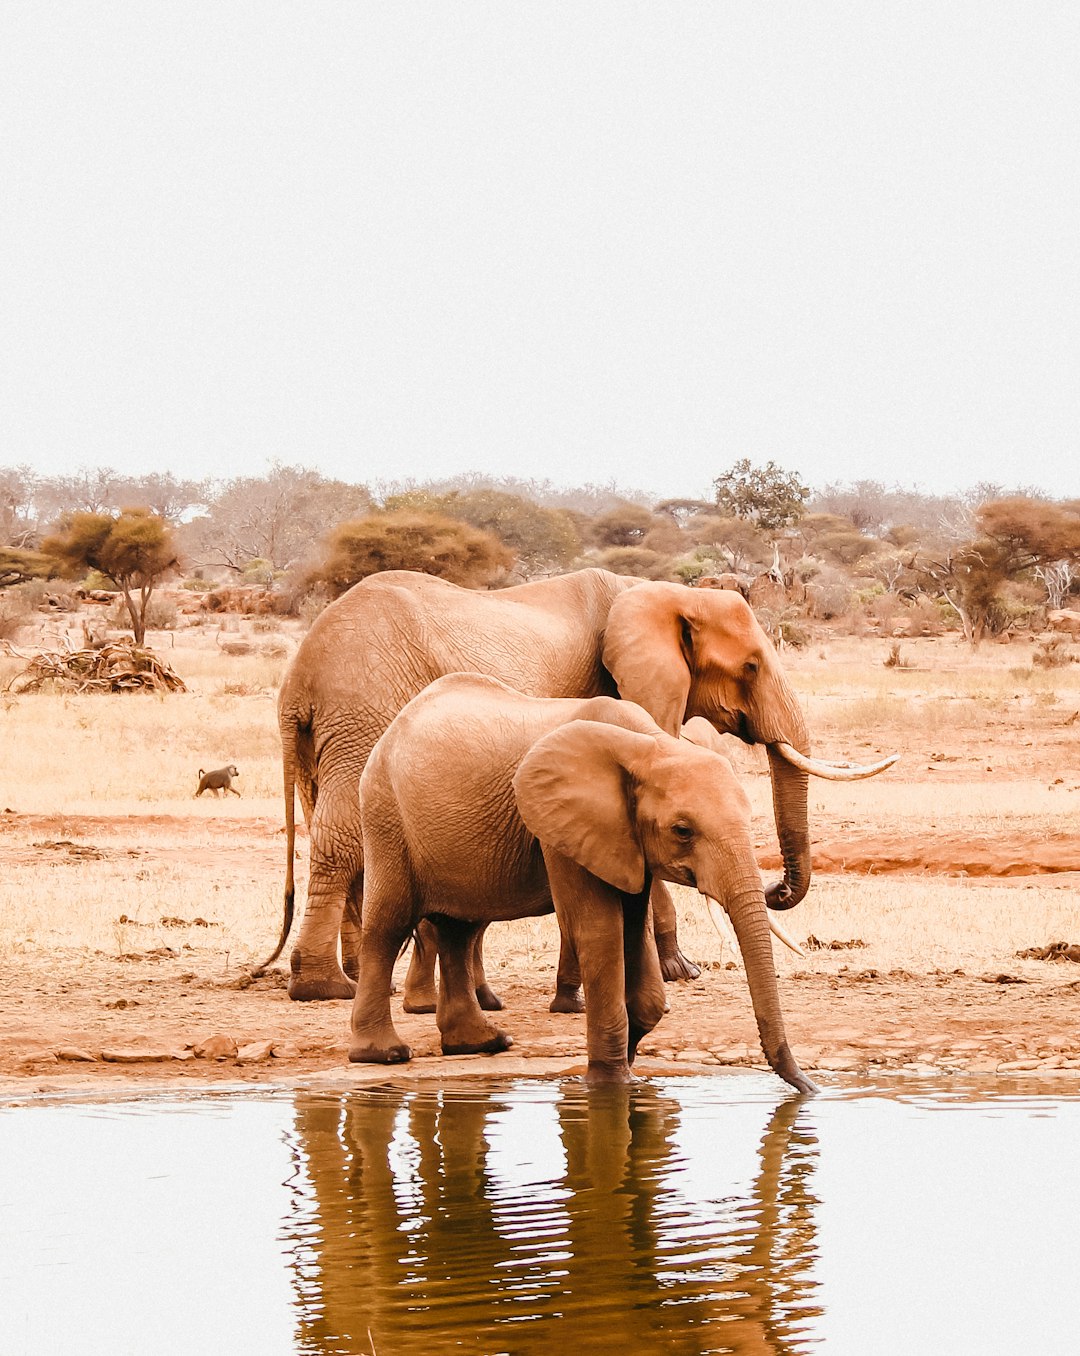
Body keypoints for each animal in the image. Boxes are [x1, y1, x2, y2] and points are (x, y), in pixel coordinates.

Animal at [263, 566, 895, 1003]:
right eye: (751, 667)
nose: (775, 890)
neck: (658, 592)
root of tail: (297, 679)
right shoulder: (619, 695)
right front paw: (680, 971)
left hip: (335, 730)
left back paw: (366, 978)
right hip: (363, 709)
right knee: (343, 836)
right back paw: (327, 988)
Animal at [350, 672, 814, 1095]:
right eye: (683, 831)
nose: (809, 1089)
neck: (650, 746)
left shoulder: (625, 839)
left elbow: (635, 932)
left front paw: (629, 1067)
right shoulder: (560, 828)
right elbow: (600, 931)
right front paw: (610, 1085)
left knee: (458, 930)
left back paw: (481, 1044)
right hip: (386, 813)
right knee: (389, 925)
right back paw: (383, 1053)